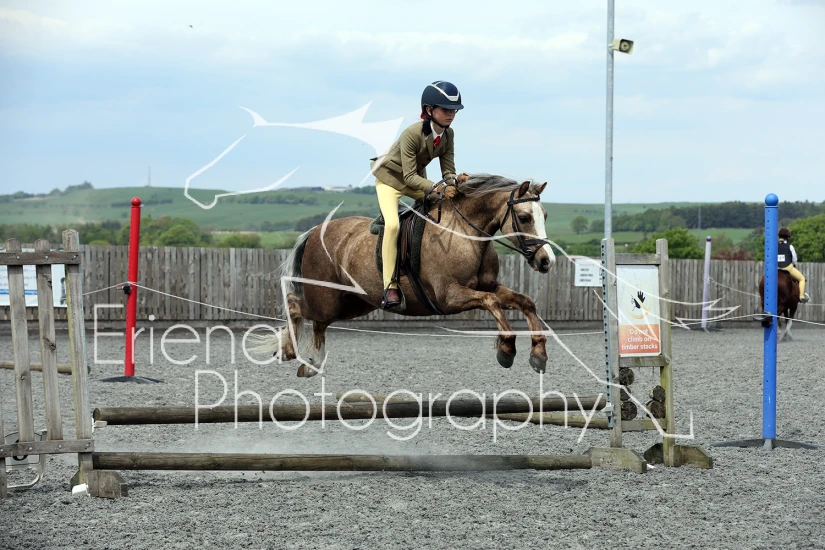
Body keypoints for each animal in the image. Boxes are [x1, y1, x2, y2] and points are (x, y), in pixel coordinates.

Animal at [259, 174, 557, 377]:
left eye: (544, 215)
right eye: (524, 217)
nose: (546, 261)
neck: (465, 233)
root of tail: (315, 231)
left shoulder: (489, 285)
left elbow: (525, 302)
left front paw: (539, 353)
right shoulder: (450, 296)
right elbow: (491, 302)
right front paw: (506, 350)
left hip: (353, 303)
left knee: (319, 323)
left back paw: (312, 363)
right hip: (328, 297)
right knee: (297, 306)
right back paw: (291, 352)